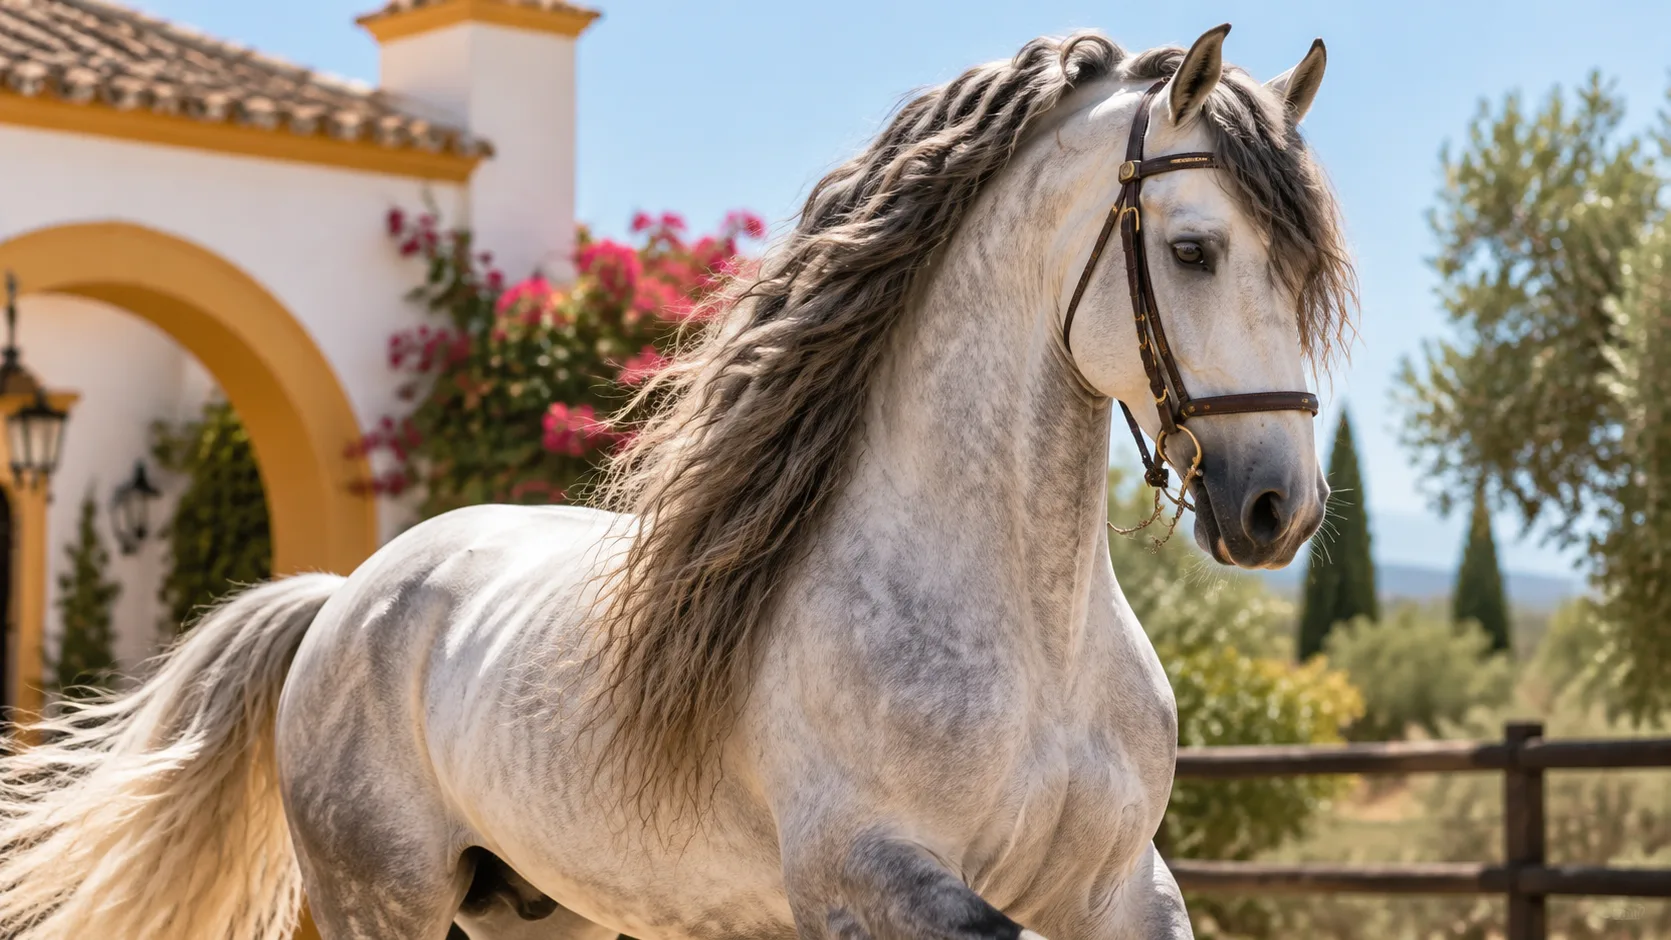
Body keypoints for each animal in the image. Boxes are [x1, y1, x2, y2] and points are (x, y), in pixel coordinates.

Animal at [0, 23, 1354, 940]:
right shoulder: (871, 879)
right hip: (379, 897)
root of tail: (349, 598)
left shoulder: (1122, 884)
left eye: (1305, 269)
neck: (1031, 640)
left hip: (541, 908)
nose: (1274, 509)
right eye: (1194, 248)